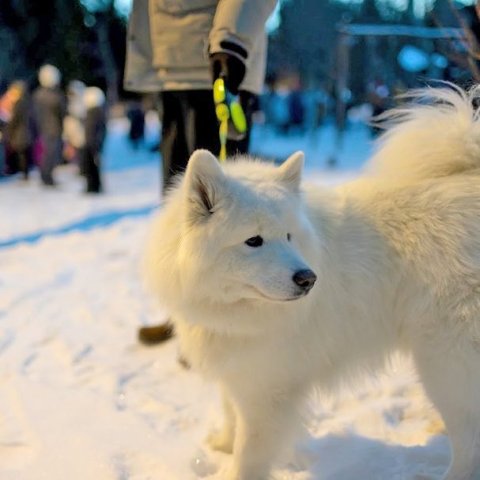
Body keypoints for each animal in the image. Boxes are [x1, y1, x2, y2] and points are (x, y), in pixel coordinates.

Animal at [144, 86, 480, 480]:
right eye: (254, 240)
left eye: (289, 236)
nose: (308, 279)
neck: (233, 308)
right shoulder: (239, 370)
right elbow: (230, 412)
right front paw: (222, 445)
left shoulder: (268, 392)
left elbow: (249, 453)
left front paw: (233, 466)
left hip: (445, 361)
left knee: (468, 440)